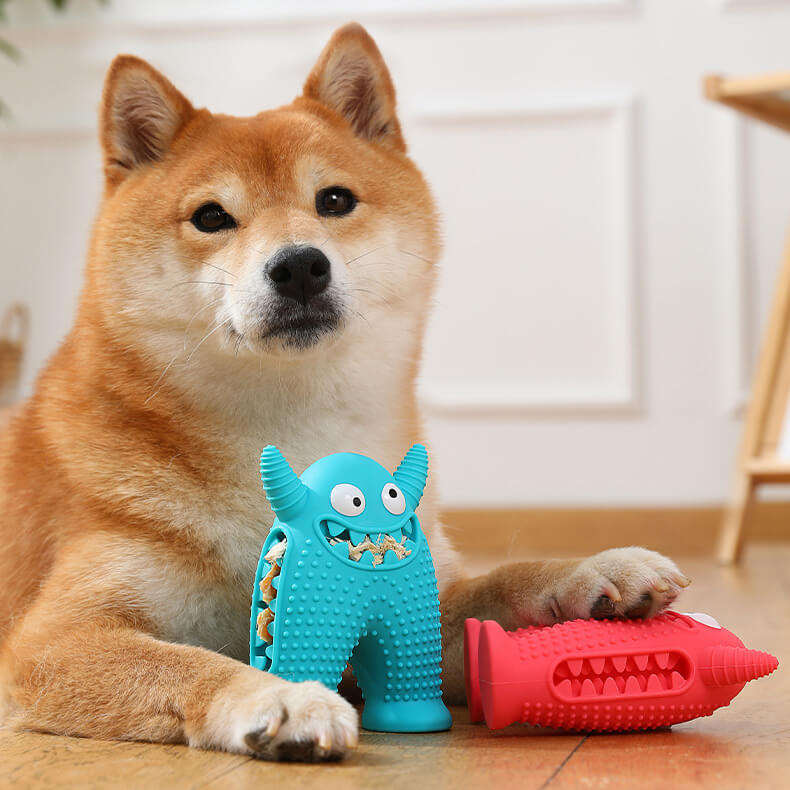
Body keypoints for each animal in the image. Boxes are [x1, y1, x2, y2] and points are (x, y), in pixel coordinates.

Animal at [0, 23, 688, 762]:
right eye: (211, 217)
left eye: (333, 201)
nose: (300, 264)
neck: (291, 431)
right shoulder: (52, 641)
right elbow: (193, 663)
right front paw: (279, 698)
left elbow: (497, 585)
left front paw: (590, 571)